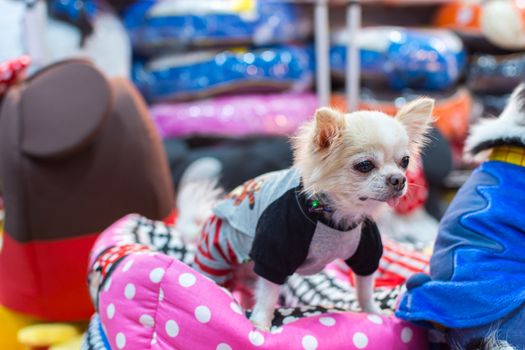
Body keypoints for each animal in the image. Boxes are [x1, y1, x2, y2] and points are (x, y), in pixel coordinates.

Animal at [192, 97, 434, 330]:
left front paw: (374, 312)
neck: (333, 216)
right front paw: (260, 325)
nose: (399, 179)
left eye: (405, 162)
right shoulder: (273, 254)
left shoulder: (367, 251)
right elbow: (268, 296)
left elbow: (364, 288)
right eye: (365, 165)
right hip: (215, 259)